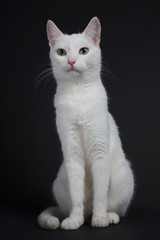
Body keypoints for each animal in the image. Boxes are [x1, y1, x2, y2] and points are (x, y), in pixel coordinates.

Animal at [37, 16, 134, 231]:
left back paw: (107, 216)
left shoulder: (100, 153)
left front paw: (100, 219)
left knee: (115, 208)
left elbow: (100, 196)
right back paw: (81, 218)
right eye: (61, 52)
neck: (78, 94)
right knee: (81, 209)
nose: (72, 61)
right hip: (61, 179)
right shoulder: (72, 155)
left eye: (83, 51)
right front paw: (74, 220)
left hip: (123, 176)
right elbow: (77, 197)